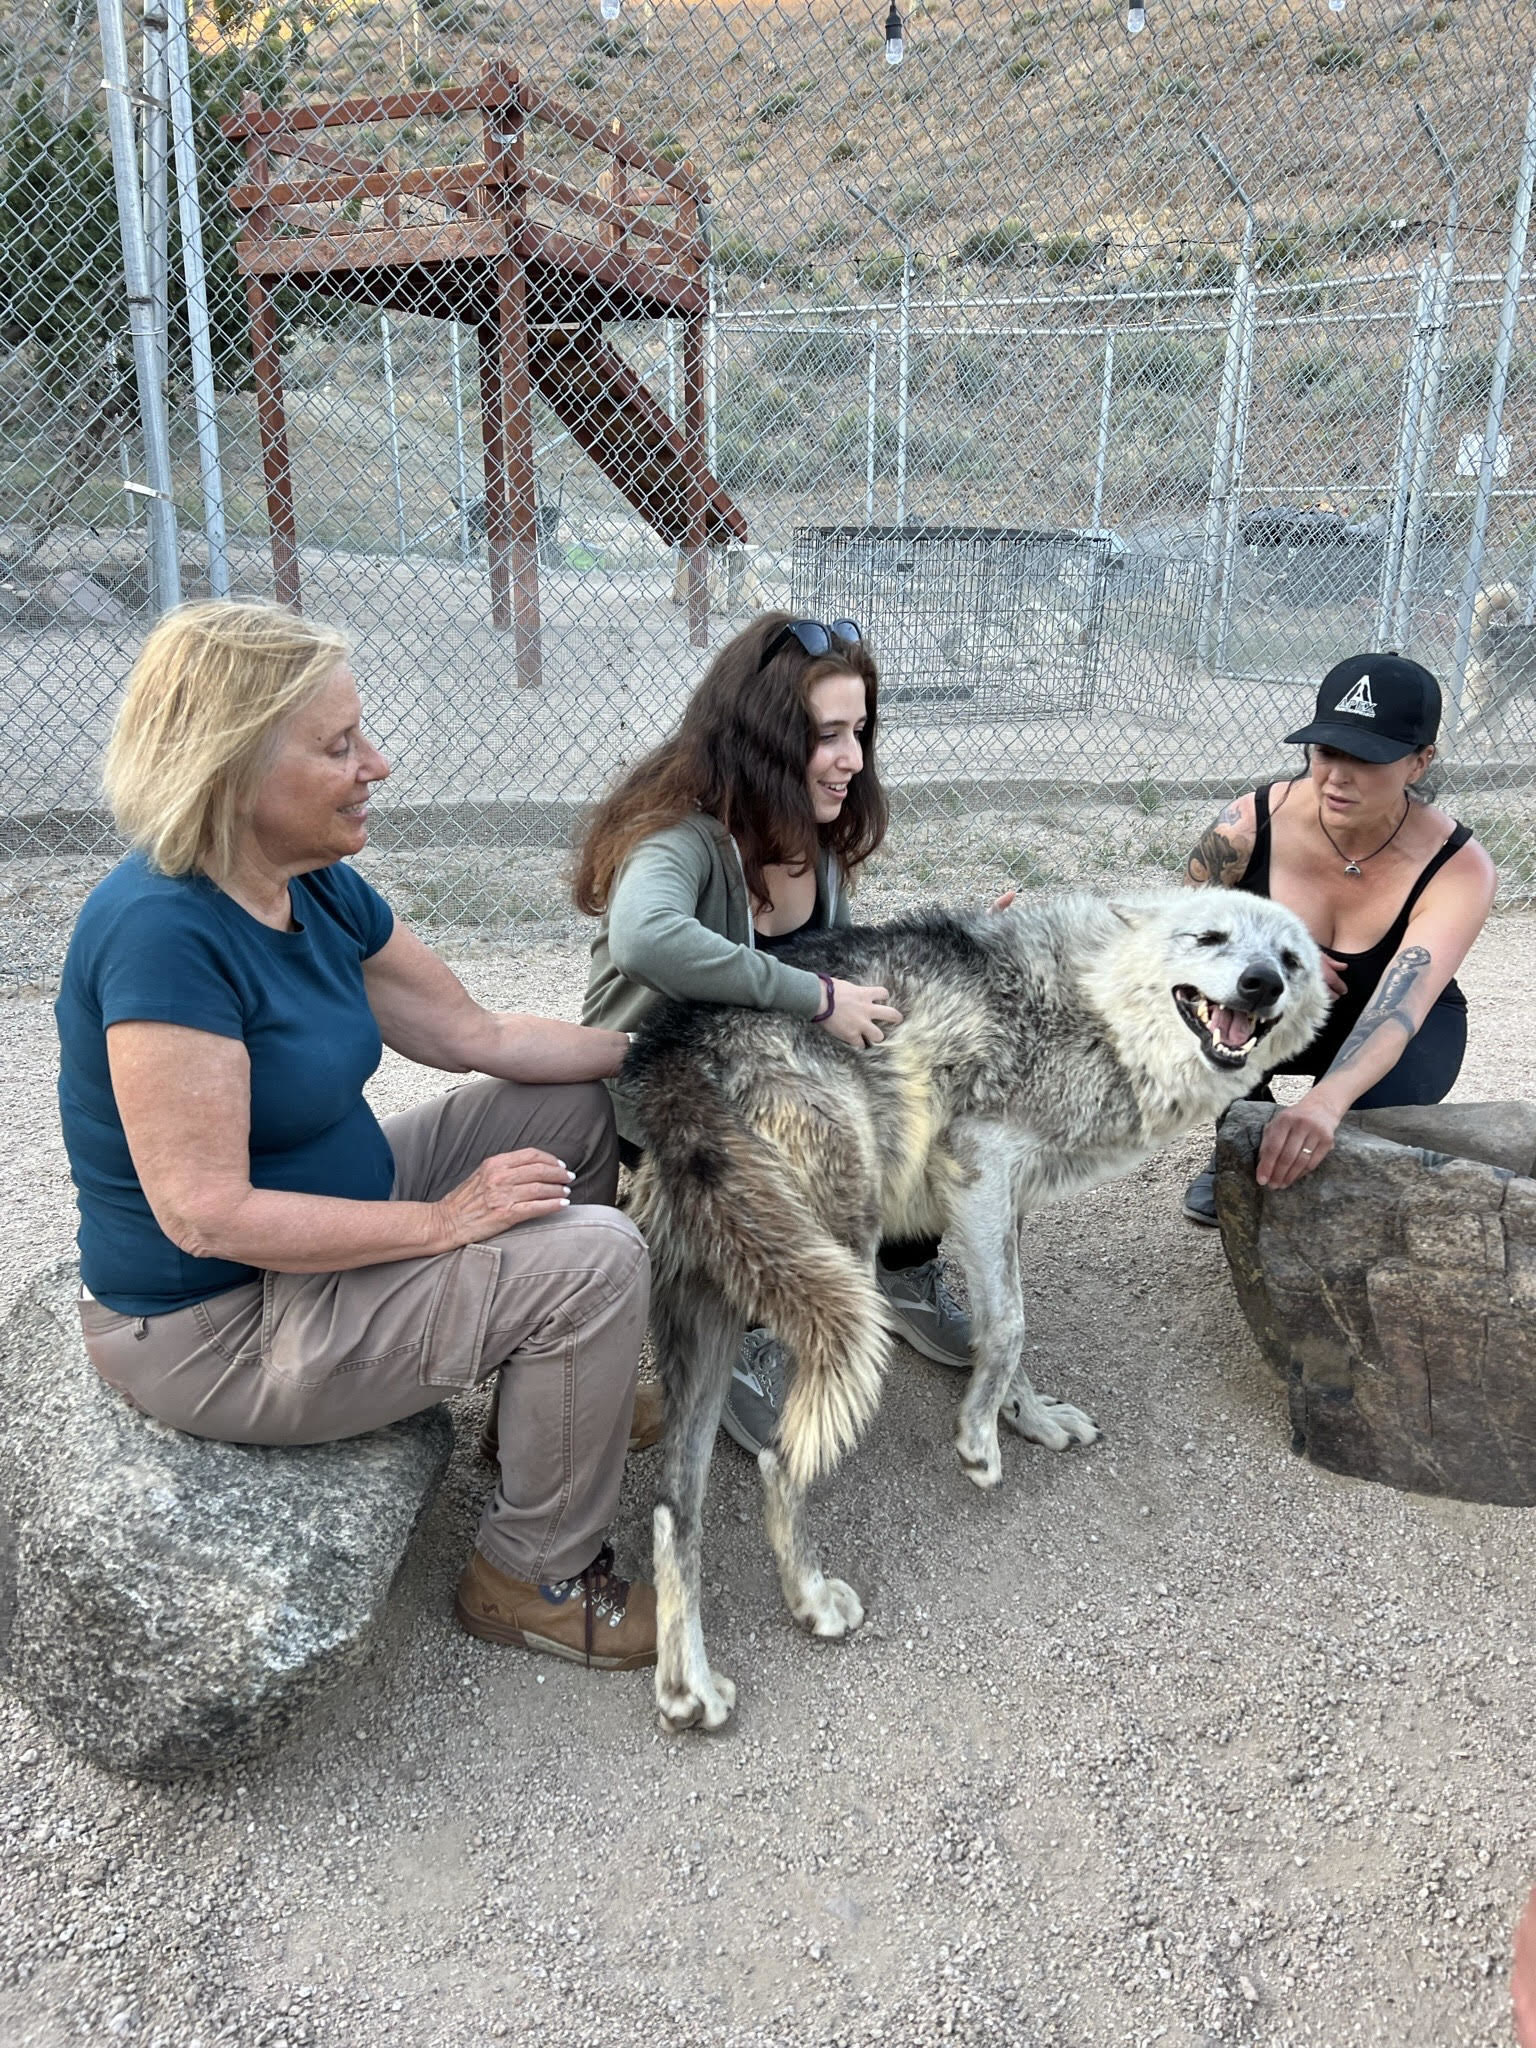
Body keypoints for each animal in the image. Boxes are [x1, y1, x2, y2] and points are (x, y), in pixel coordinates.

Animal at [618, 884, 1327, 1728]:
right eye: (1212, 938)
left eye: (1289, 960)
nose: (1261, 984)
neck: (1096, 1005)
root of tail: (675, 1053)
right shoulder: (980, 1167)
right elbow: (1011, 1328)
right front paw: (979, 1442)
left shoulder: (1004, 1204)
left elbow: (1004, 1328)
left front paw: (1029, 1420)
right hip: (840, 1279)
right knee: (778, 1460)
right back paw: (812, 1603)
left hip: (719, 1314)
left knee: (673, 1509)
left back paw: (684, 1685)